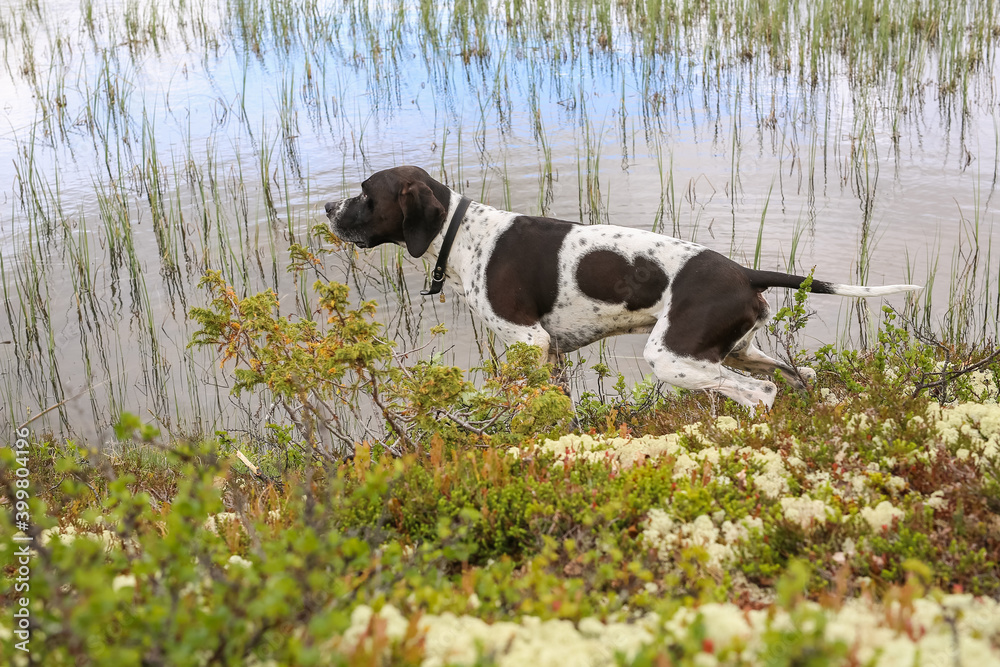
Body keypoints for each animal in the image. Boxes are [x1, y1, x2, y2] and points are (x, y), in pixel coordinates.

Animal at [324, 164, 916, 410]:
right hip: (739, 350)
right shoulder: (550, 354)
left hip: (673, 356)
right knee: (799, 375)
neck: (465, 232)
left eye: (365, 193)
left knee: (760, 394)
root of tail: (743, 272)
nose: (328, 207)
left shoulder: (530, 344)